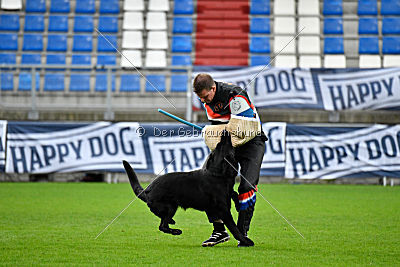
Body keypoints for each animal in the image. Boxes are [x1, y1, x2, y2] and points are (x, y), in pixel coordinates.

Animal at [122, 133, 253, 248]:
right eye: (220, 144)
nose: (225, 131)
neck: (217, 174)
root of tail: (147, 190)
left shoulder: (227, 194)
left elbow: (234, 193)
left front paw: (238, 205)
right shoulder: (224, 210)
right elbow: (234, 228)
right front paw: (245, 241)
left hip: (171, 207)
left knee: (163, 224)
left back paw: (173, 225)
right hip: (170, 207)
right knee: (163, 225)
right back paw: (176, 230)